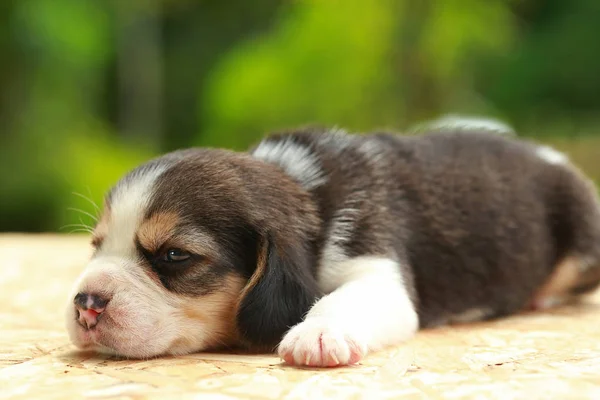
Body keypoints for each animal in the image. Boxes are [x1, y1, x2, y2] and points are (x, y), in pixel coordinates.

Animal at [65, 120, 600, 368]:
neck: (310, 197)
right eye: (96, 245)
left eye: (174, 256)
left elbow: (343, 298)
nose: (86, 304)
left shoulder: (377, 264)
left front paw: (319, 334)